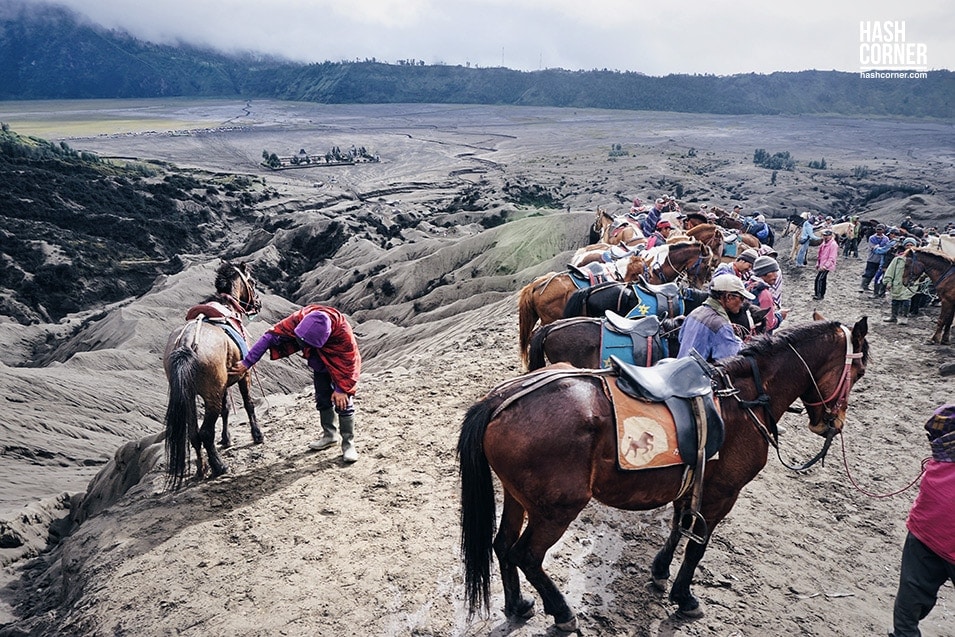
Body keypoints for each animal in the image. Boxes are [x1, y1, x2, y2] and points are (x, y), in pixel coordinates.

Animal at [162, 260, 264, 490]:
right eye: (253, 282)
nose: (258, 303)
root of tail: (186, 344)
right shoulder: (244, 374)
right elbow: (248, 404)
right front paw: (257, 435)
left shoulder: (223, 385)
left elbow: (226, 410)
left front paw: (226, 439)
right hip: (210, 396)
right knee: (205, 432)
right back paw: (219, 467)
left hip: (190, 397)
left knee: (194, 434)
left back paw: (202, 469)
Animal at [460, 316, 872, 628]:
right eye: (859, 370)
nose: (831, 423)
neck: (743, 398)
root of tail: (497, 401)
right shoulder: (722, 494)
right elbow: (696, 547)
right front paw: (684, 597)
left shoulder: (690, 483)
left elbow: (678, 527)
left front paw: (659, 572)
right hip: (555, 509)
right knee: (526, 555)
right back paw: (561, 613)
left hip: (517, 496)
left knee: (502, 545)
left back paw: (518, 605)